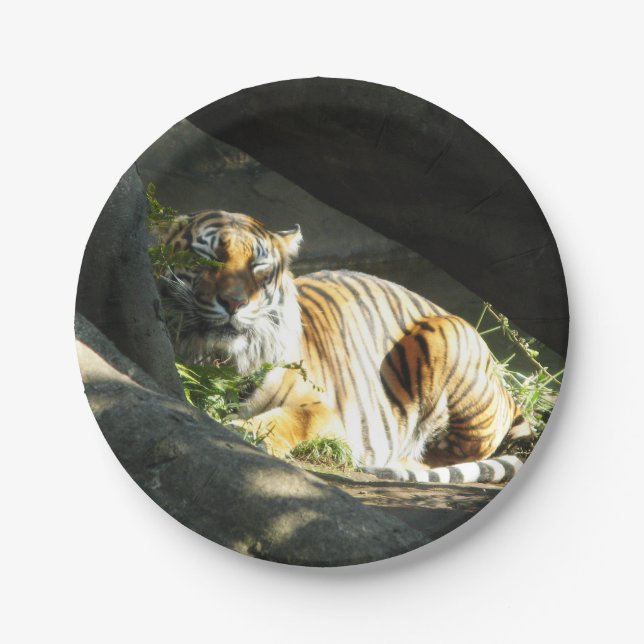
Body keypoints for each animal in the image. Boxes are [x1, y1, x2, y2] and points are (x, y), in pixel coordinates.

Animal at [155, 209, 529, 484]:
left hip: (446, 337)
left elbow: (288, 419)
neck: (219, 360)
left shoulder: (323, 409)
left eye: (258, 266)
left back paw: (400, 463)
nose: (234, 303)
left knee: (453, 453)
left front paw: (246, 432)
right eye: (206, 258)